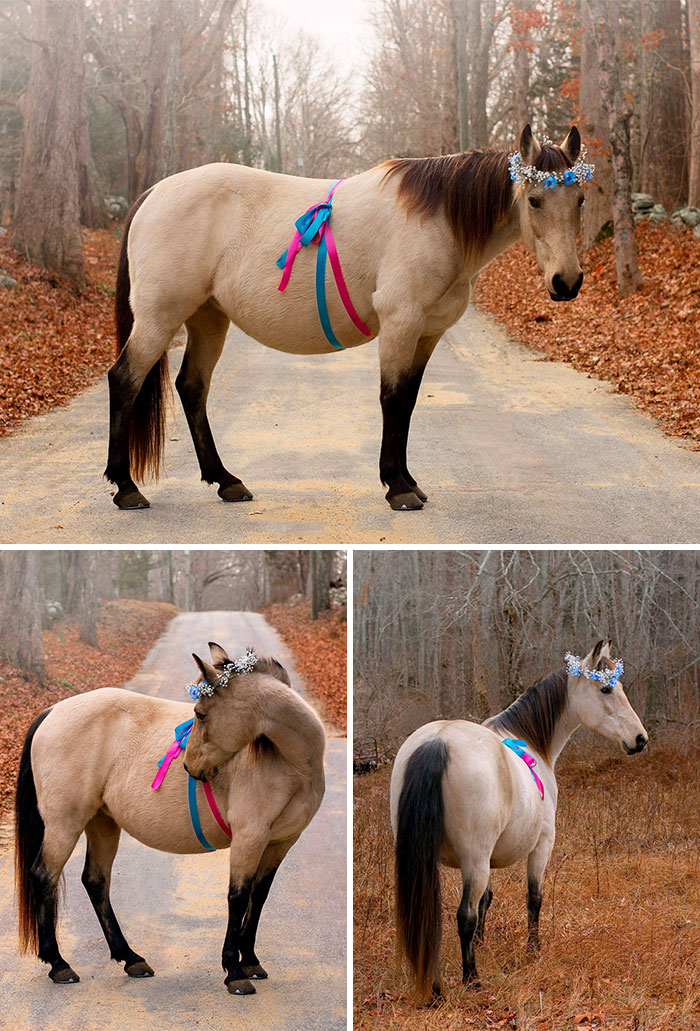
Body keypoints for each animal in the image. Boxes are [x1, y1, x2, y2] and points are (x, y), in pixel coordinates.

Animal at [14, 644, 326, 996]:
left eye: (200, 713)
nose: (190, 767)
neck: (291, 763)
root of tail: (53, 710)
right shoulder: (250, 838)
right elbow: (237, 898)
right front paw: (234, 972)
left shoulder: (279, 843)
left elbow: (257, 898)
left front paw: (250, 961)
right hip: (63, 825)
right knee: (44, 877)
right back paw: (58, 964)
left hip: (102, 823)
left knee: (95, 882)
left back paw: (130, 958)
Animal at [105, 123, 588, 512]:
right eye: (535, 200)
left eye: (581, 199)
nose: (566, 282)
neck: (437, 220)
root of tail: (154, 193)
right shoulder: (401, 324)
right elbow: (392, 399)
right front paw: (398, 488)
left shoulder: (427, 334)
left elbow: (408, 402)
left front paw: (408, 480)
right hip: (159, 318)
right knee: (125, 380)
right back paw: (127, 488)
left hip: (208, 319)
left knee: (192, 388)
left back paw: (226, 481)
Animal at [389, 639, 648, 1004]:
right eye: (607, 689)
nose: (640, 739)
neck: (527, 741)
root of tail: (439, 741)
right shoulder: (541, 846)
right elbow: (533, 898)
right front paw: (533, 950)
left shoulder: (488, 861)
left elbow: (486, 899)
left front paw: (482, 944)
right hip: (474, 859)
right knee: (462, 915)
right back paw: (471, 980)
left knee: (428, 913)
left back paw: (436, 986)